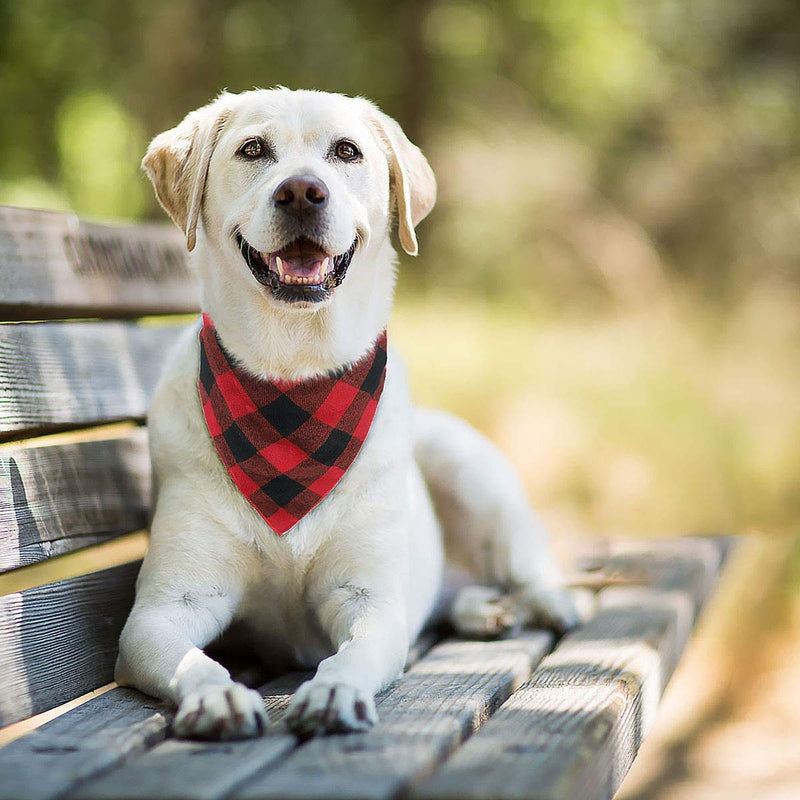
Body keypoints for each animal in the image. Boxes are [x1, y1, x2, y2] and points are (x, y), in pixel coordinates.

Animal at [115, 87, 580, 736]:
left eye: (347, 151)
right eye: (252, 149)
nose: (301, 191)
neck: (294, 387)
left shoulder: (370, 601)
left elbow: (352, 653)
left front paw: (333, 691)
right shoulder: (162, 612)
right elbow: (193, 659)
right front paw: (218, 695)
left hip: (468, 468)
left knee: (523, 561)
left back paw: (545, 603)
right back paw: (479, 609)